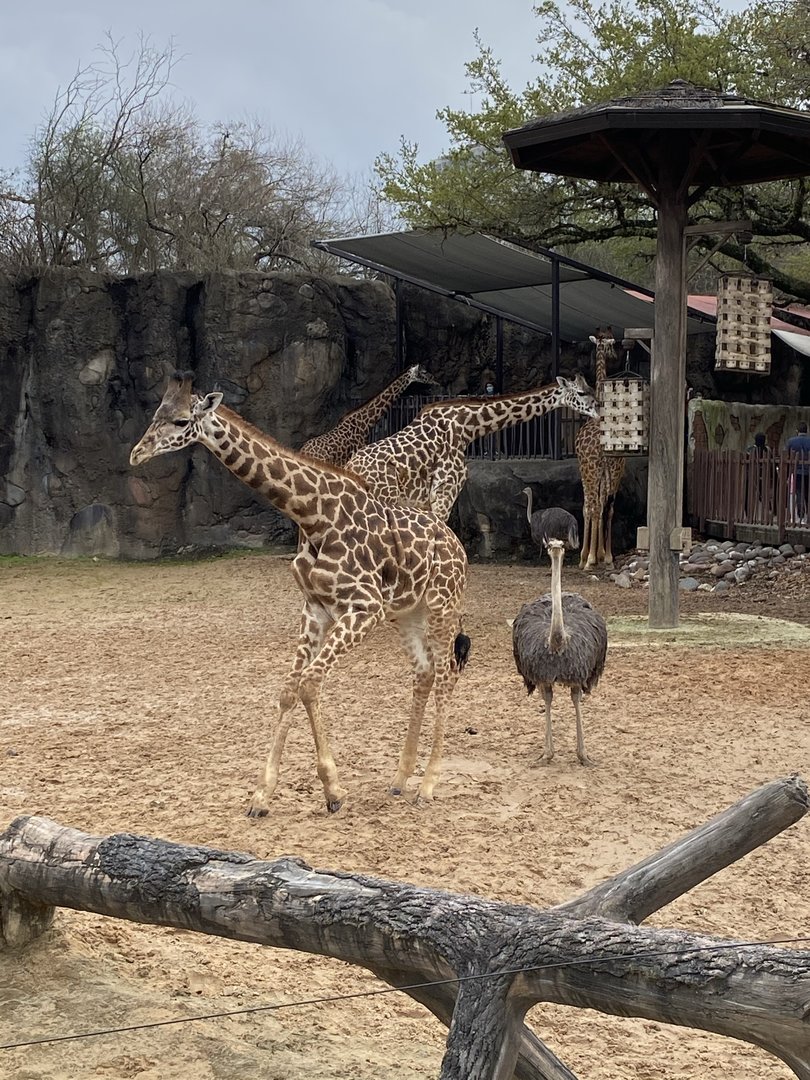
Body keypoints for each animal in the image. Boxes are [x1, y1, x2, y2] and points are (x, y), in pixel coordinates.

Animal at [345, 375, 598, 521]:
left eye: (592, 387)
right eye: (582, 392)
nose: (599, 409)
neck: (467, 428)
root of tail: (350, 468)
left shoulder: (430, 501)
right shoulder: (445, 491)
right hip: (384, 498)